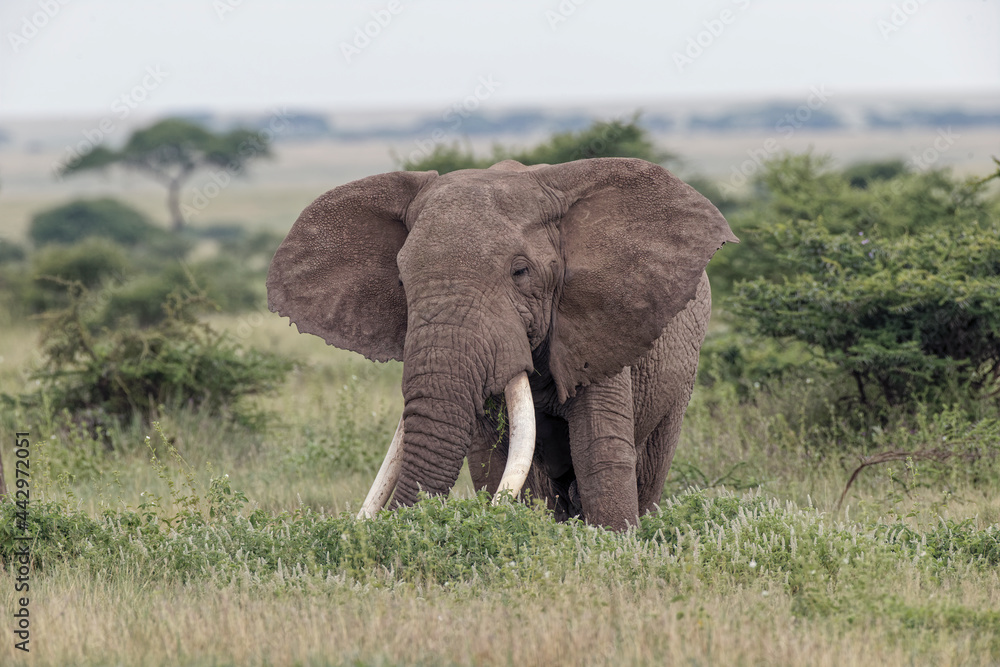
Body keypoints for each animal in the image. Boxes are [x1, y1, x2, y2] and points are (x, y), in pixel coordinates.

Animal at [267, 157, 737, 530]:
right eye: (401, 280)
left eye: (520, 272)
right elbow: (492, 459)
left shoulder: (601, 322)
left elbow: (598, 451)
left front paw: (615, 544)